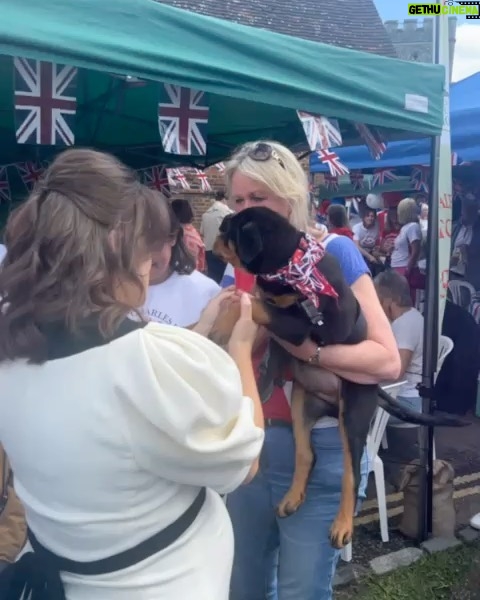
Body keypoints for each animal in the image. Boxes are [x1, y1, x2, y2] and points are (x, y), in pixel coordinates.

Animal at [212, 206, 466, 548]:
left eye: (229, 229)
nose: (216, 236)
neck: (291, 263)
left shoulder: (298, 325)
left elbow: (254, 305)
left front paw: (224, 321)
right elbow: (254, 305)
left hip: (353, 417)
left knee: (351, 474)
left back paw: (342, 525)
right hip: (302, 405)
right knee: (307, 454)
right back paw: (291, 498)